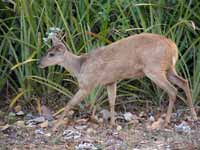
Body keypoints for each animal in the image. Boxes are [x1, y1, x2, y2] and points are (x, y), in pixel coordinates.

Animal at [38, 32, 198, 130]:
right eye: (47, 52)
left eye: (51, 54)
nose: (39, 63)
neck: (80, 67)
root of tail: (173, 46)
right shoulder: (110, 81)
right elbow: (112, 101)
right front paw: (112, 124)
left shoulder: (87, 85)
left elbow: (69, 104)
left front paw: (55, 126)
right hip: (169, 68)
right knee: (184, 82)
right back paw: (194, 116)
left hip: (154, 69)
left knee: (173, 90)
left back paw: (166, 121)